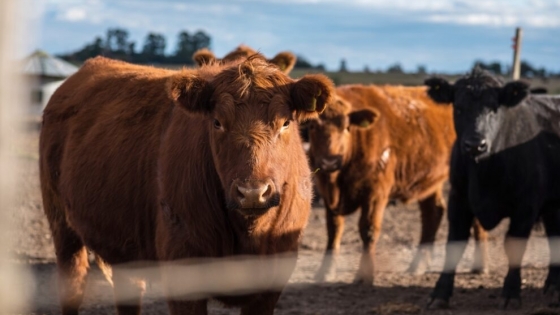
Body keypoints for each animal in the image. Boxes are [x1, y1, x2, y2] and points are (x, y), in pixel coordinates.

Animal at [41, 55, 334, 314]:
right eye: (217, 122)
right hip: (62, 226)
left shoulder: (271, 283)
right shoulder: (182, 272)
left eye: (285, 123)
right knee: (72, 284)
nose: (252, 193)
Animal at [306, 85, 490, 286]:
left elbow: (368, 229)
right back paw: (418, 265)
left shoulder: (375, 193)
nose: (330, 161)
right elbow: (334, 230)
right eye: (313, 127)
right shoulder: (328, 196)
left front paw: (365, 276)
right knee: (433, 213)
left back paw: (480, 266)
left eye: (347, 127)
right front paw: (326, 272)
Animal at [424, 68, 560, 310]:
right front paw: (440, 293)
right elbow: (454, 244)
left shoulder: (527, 206)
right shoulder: (458, 200)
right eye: (458, 107)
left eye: (494, 108)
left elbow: (515, 244)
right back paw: (552, 285)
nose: (475, 145)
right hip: (551, 205)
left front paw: (511, 293)